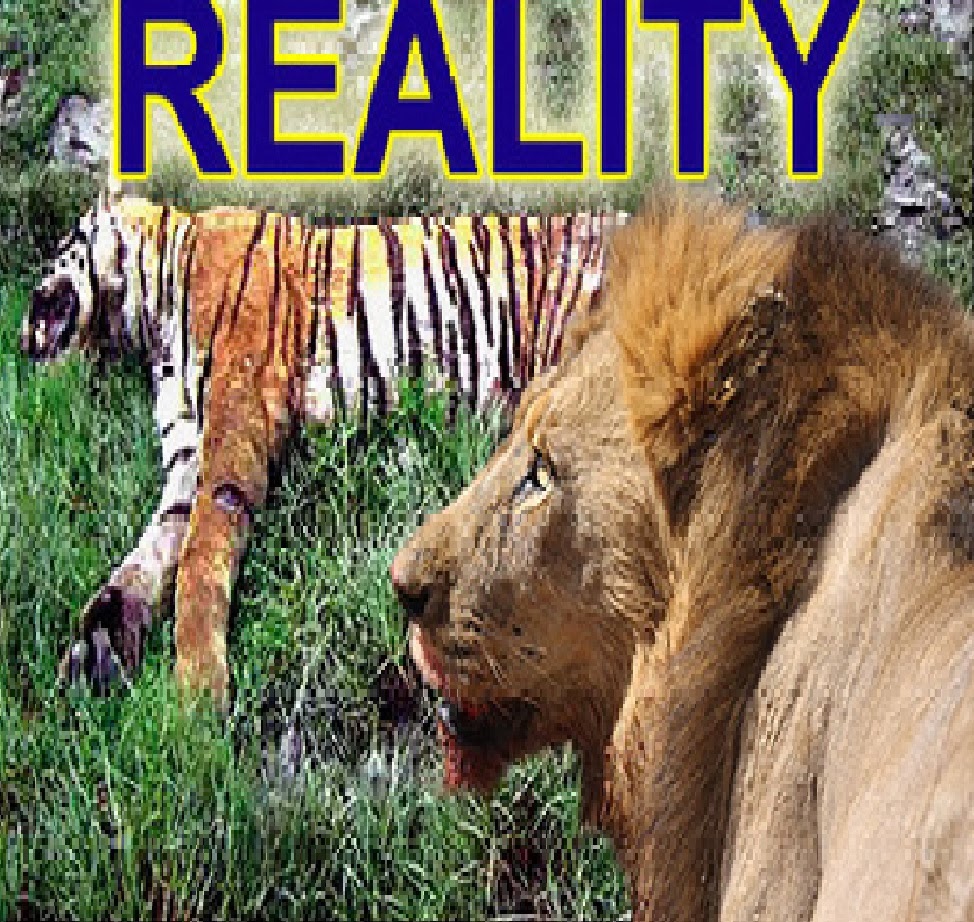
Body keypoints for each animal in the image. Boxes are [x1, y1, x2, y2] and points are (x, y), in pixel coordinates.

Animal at [21, 191, 623, 708]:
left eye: (61, 243)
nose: (22, 331)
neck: (149, 318)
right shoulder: (188, 447)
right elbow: (154, 546)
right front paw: (96, 647)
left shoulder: (237, 418)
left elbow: (200, 551)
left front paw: (196, 697)